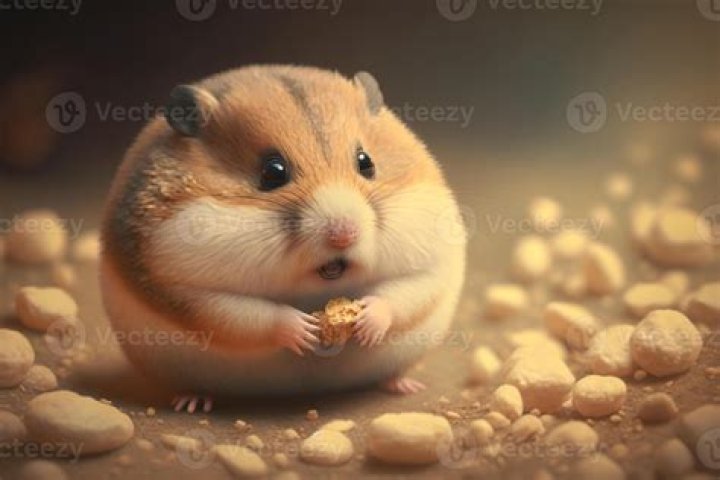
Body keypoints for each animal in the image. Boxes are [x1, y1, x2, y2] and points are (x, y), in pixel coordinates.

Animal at [100, 65, 466, 412]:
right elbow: (242, 313)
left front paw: (366, 321)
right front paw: (305, 331)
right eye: (272, 172)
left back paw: (405, 385)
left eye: (366, 163)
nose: (344, 235)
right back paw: (192, 402)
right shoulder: (178, 285)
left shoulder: (434, 263)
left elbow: (404, 292)